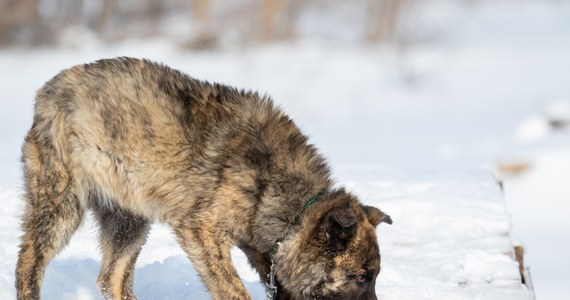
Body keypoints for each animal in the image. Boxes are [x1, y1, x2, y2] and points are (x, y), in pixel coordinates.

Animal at [16, 57, 390, 298]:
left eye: (374, 276)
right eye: (361, 277)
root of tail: (49, 91)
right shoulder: (202, 231)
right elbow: (234, 290)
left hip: (129, 220)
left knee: (112, 279)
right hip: (61, 204)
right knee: (28, 263)